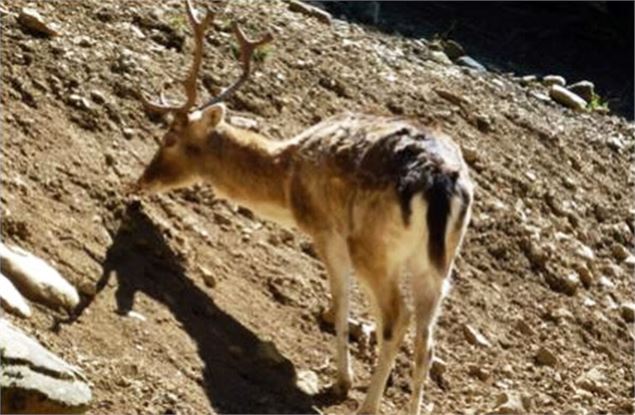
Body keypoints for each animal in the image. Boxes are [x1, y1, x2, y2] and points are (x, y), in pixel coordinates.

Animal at [132, 1, 474, 414]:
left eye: (169, 138)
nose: (142, 180)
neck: (288, 179)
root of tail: (441, 183)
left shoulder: (326, 228)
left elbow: (341, 299)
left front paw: (342, 381)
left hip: (374, 246)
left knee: (397, 317)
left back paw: (367, 404)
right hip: (438, 264)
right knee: (428, 338)